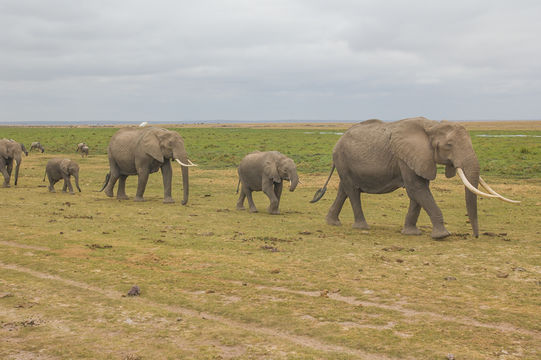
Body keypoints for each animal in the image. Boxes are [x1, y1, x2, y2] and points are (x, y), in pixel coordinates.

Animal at [312, 116, 520, 238]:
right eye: (449, 145)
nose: (476, 236)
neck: (432, 126)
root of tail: (337, 142)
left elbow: (417, 193)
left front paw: (411, 233)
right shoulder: (405, 156)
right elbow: (417, 188)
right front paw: (442, 236)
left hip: (345, 162)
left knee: (344, 189)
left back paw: (333, 222)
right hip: (343, 159)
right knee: (353, 191)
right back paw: (362, 228)